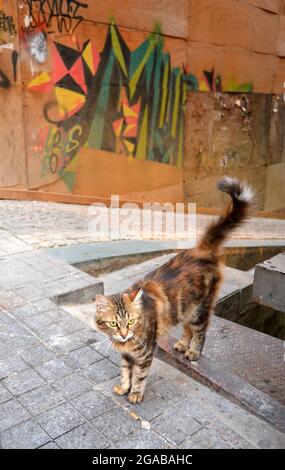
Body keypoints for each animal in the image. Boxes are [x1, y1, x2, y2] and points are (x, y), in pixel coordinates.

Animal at [94, 177, 252, 404]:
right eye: (114, 323)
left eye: (131, 321)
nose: (124, 335)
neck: (126, 343)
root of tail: (201, 250)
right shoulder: (126, 355)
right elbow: (125, 372)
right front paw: (124, 387)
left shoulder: (144, 353)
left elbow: (138, 376)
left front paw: (135, 394)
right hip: (185, 308)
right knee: (187, 330)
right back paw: (182, 345)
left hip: (199, 311)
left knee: (201, 332)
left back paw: (193, 351)